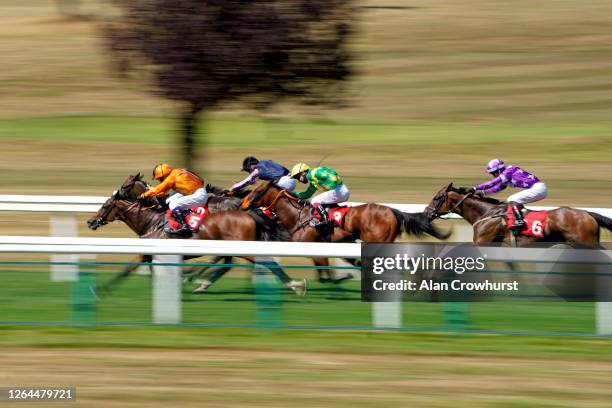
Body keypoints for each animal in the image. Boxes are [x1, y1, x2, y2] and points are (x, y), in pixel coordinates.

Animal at [86, 174, 306, 294]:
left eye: (105, 205)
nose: (90, 221)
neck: (152, 221)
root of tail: (247, 212)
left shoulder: (149, 252)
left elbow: (128, 269)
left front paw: (100, 290)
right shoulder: (150, 254)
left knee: (262, 261)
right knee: (228, 263)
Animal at [243, 180, 450, 282]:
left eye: (257, 191)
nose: (245, 204)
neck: (298, 216)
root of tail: (392, 211)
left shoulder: (316, 247)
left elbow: (326, 274)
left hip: (375, 241)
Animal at [426, 183, 612, 247]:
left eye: (436, 198)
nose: (426, 212)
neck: (487, 213)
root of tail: (587, 213)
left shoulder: (483, 242)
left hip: (585, 243)